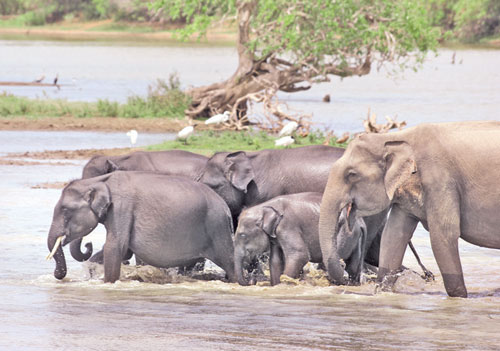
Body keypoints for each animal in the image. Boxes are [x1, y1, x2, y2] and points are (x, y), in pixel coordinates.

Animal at [46, 172, 234, 284]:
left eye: (65, 210)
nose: (88, 244)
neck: (100, 181)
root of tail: (225, 208)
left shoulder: (121, 208)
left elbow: (115, 247)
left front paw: (108, 283)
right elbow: (123, 251)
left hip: (217, 227)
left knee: (230, 263)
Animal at [234, 192, 368, 286]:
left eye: (242, 235)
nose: (252, 280)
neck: (265, 206)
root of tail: (361, 222)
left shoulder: (288, 226)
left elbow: (299, 255)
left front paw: (284, 284)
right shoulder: (275, 236)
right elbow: (275, 260)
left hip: (343, 233)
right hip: (354, 238)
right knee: (353, 266)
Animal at [318, 122, 500, 298]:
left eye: (352, 174)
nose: (345, 275)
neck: (394, 138)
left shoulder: (440, 181)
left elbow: (443, 235)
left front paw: (459, 297)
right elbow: (393, 236)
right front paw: (381, 292)